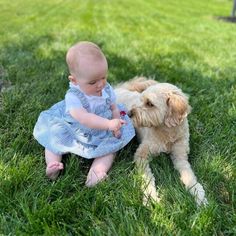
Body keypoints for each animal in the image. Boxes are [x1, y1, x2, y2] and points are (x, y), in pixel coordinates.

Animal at [115, 76, 207, 206]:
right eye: (141, 100)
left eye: (150, 103)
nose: (129, 113)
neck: (168, 133)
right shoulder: (141, 155)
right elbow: (147, 177)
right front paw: (150, 196)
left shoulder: (180, 157)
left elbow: (189, 176)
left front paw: (198, 195)